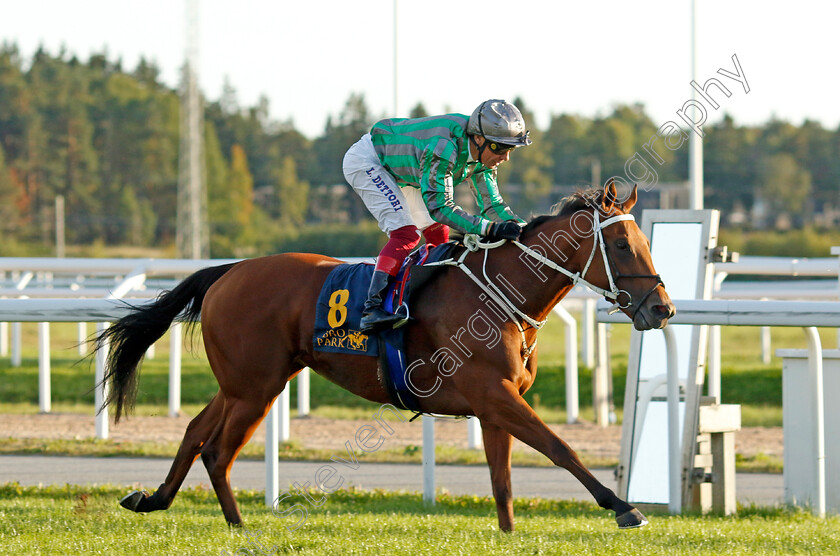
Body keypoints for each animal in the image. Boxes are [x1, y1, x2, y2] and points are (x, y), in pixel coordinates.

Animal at [95, 181, 676, 528]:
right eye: (620, 246)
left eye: (647, 242)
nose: (662, 308)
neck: (499, 294)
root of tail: (228, 271)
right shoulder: (494, 395)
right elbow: (561, 448)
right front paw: (624, 507)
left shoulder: (495, 405)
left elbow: (503, 482)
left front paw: (509, 534)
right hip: (256, 387)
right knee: (218, 450)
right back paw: (237, 524)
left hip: (244, 383)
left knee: (196, 430)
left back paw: (152, 498)